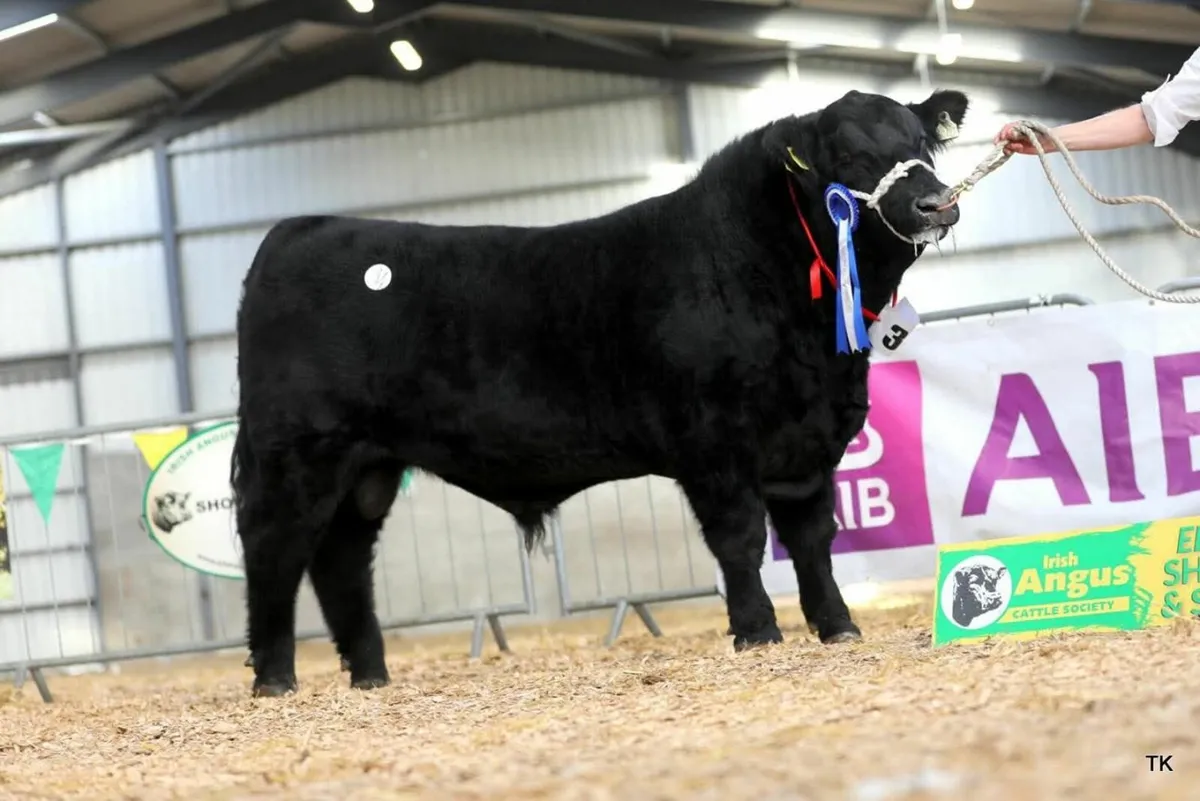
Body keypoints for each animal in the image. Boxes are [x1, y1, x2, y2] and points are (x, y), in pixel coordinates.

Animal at [230, 87, 969, 697]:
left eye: (919, 141)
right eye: (847, 154)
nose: (936, 202)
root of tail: (297, 231)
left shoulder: (807, 443)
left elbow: (814, 539)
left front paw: (837, 625)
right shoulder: (715, 444)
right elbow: (740, 540)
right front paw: (757, 632)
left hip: (367, 469)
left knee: (341, 564)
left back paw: (370, 675)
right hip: (296, 454)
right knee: (274, 553)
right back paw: (274, 679)